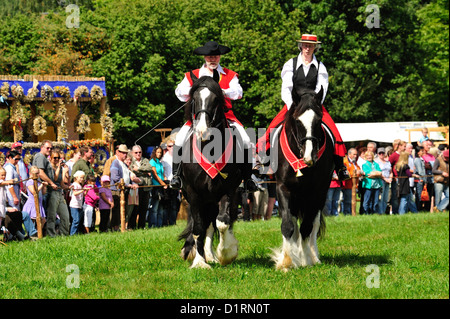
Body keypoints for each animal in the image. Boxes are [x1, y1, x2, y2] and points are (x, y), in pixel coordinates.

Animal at [178, 73, 250, 270]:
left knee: (213, 224)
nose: (202, 131)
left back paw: (211, 255)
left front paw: (226, 253)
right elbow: (198, 228)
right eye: (194, 99)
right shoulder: (193, 193)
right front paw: (199, 262)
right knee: (204, 226)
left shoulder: (228, 190)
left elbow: (223, 222)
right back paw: (205, 256)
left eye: (216, 99)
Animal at [270, 86, 334, 272]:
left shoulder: (316, 192)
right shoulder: (283, 188)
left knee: (313, 225)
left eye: (319, 120)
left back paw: (313, 256)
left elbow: (307, 227)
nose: (309, 156)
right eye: (298, 121)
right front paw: (286, 261)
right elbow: (288, 225)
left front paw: (306, 259)